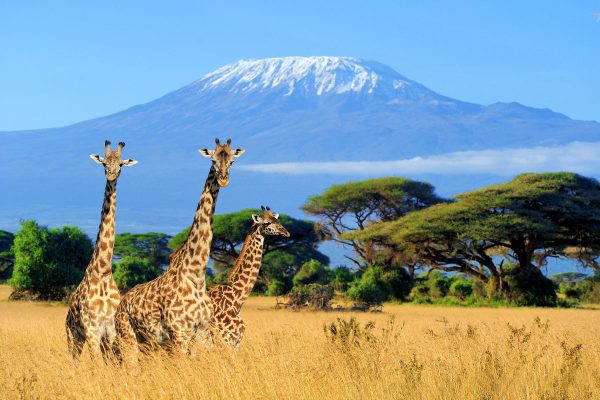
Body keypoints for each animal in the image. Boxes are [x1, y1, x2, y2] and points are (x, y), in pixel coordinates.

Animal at [65, 141, 138, 360]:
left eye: (121, 164)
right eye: (104, 163)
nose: (111, 176)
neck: (103, 270)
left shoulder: (111, 330)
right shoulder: (92, 331)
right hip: (73, 335)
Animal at [113, 138, 245, 360]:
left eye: (232, 161)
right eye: (213, 159)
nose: (223, 179)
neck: (196, 274)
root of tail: (120, 305)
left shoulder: (201, 332)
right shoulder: (180, 332)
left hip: (148, 343)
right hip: (128, 337)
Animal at [207, 206, 290, 346]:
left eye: (276, 220)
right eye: (267, 222)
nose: (286, 232)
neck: (236, 299)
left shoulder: (236, 342)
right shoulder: (226, 339)